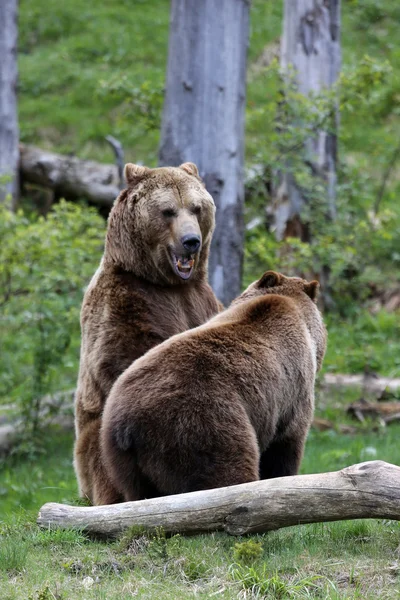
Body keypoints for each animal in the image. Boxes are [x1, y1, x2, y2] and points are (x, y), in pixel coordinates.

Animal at [73, 162, 220, 504]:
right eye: (168, 210)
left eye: (196, 208)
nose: (191, 240)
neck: (167, 284)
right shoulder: (127, 304)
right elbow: (127, 361)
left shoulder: (200, 300)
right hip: (91, 444)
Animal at [101, 272, 328, 502]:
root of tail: (127, 425)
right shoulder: (293, 396)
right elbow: (284, 449)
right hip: (201, 422)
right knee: (224, 472)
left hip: (123, 460)